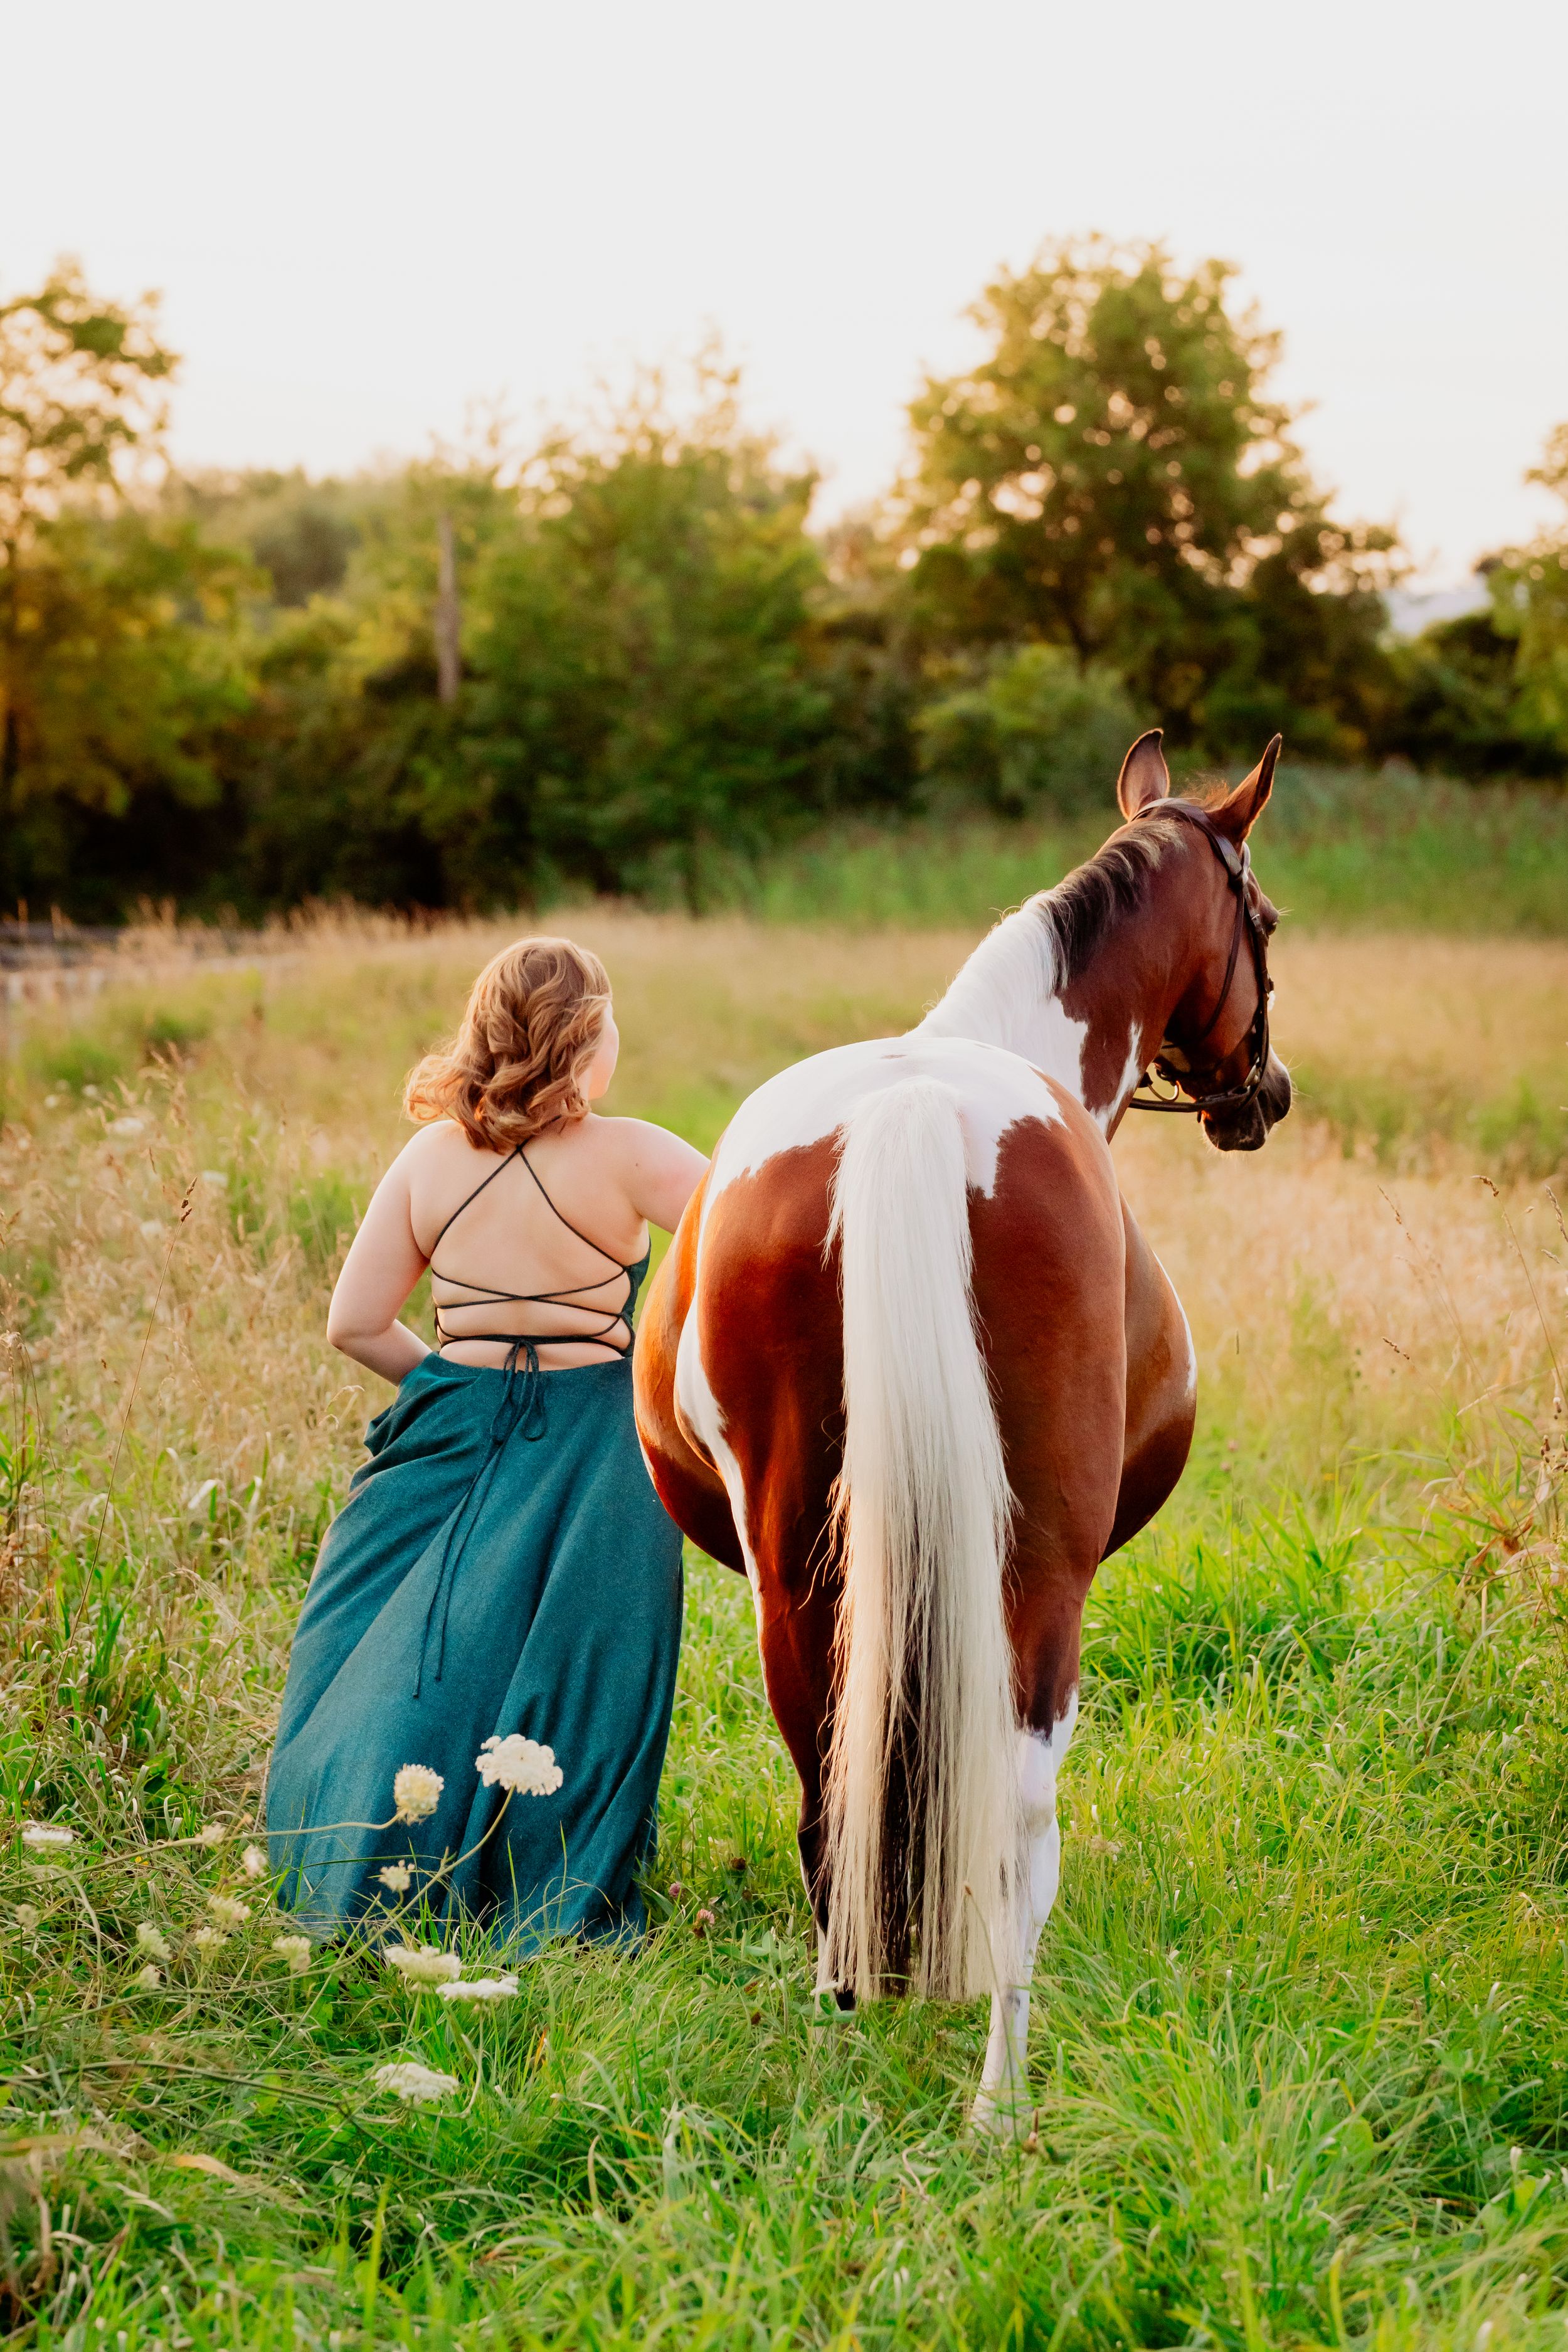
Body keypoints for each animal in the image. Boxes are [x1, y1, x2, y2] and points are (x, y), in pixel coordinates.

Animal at [632, 726, 1291, 2131]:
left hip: (799, 1567)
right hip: (1036, 1579)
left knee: (825, 1777)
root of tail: (914, 1117)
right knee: (1017, 1815)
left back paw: (847, 2018)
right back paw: (1000, 2095)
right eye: (1262, 920)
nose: (1263, 1091)